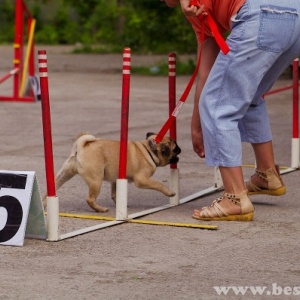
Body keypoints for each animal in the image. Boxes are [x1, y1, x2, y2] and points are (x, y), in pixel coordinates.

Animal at [43, 132, 182, 212]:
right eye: (175, 148)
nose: (180, 149)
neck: (149, 149)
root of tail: (81, 147)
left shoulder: (116, 180)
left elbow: (115, 193)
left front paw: (120, 203)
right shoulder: (142, 180)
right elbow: (159, 184)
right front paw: (170, 192)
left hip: (64, 174)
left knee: (51, 189)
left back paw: (44, 205)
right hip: (96, 180)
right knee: (89, 199)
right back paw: (101, 209)